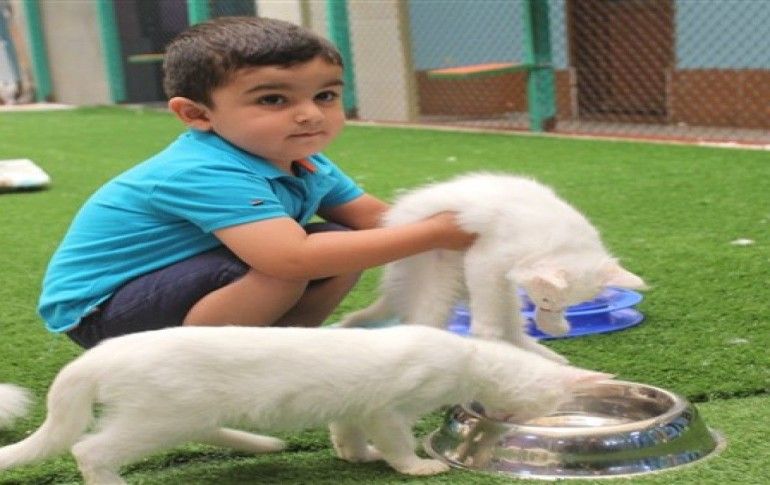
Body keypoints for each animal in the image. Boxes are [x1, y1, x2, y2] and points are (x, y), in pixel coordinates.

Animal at [0, 325, 610, 484]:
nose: (509, 421)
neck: (465, 354)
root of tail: (100, 353)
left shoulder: (354, 409)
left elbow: (349, 436)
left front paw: (354, 458)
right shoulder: (388, 409)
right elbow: (397, 444)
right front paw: (416, 467)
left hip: (185, 415)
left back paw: (261, 443)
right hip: (160, 419)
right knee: (89, 450)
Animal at [338, 172, 647, 364]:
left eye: (561, 303)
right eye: (547, 298)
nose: (548, 309)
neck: (561, 243)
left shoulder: (501, 273)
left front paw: (554, 325)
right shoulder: (484, 261)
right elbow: (487, 314)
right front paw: (486, 335)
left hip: (498, 291)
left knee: (514, 329)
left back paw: (549, 358)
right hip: (441, 283)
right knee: (421, 322)